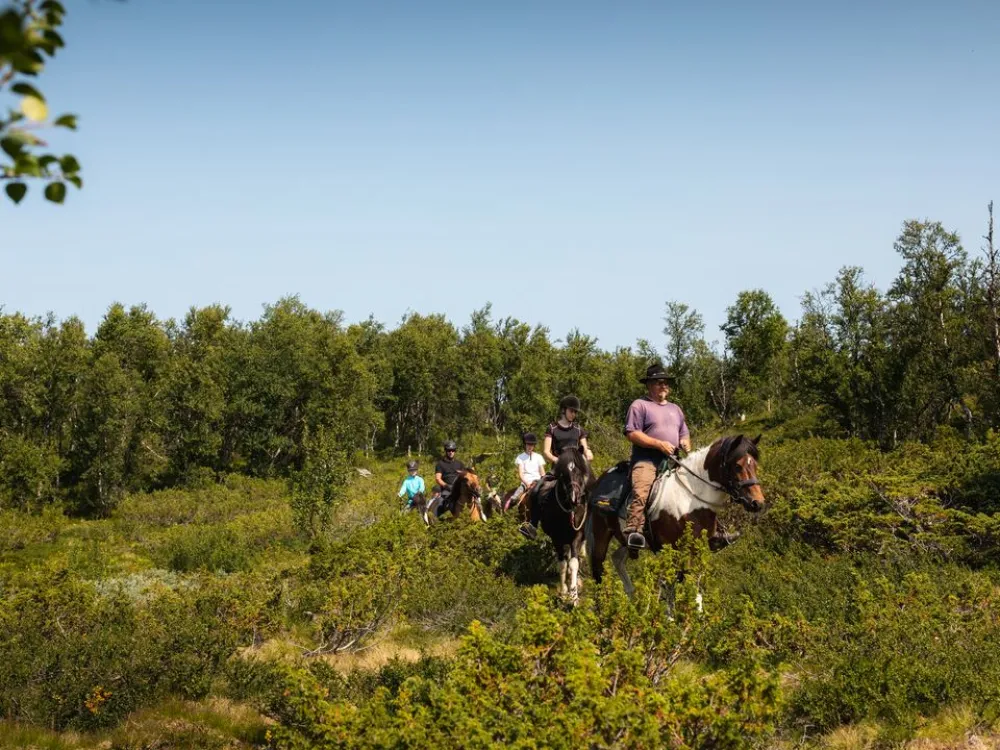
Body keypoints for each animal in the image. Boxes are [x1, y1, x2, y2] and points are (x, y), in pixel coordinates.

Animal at [584, 434, 764, 604]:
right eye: (737, 466)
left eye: (755, 465)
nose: (757, 503)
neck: (690, 499)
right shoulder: (677, 552)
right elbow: (681, 590)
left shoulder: (697, 552)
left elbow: (688, 590)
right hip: (600, 535)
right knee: (598, 572)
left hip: (627, 541)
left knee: (617, 559)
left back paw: (632, 599)